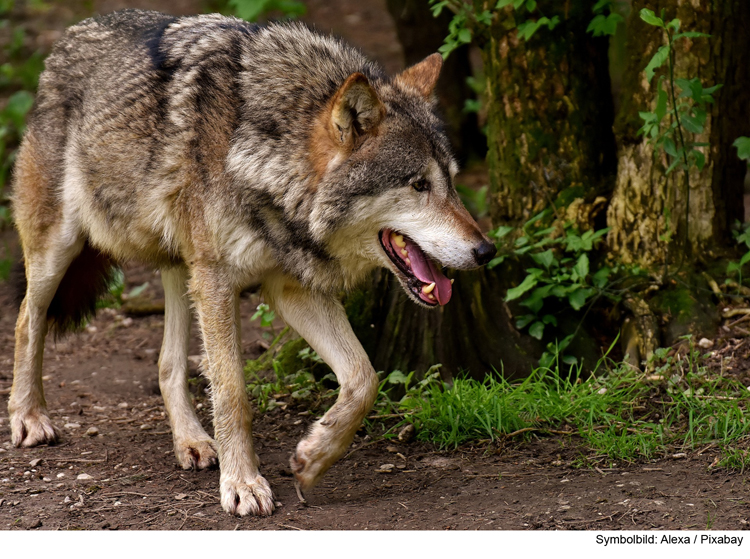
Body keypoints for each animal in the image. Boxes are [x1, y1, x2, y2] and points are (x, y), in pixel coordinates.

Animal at [8, 9, 500, 516]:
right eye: (419, 185)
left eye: (453, 183)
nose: (486, 251)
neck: (265, 158)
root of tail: (72, 34)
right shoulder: (219, 281)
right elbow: (233, 393)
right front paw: (242, 483)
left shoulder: (290, 288)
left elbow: (364, 378)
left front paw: (313, 458)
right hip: (61, 250)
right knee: (27, 319)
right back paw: (29, 418)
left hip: (182, 268)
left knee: (167, 363)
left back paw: (192, 442)